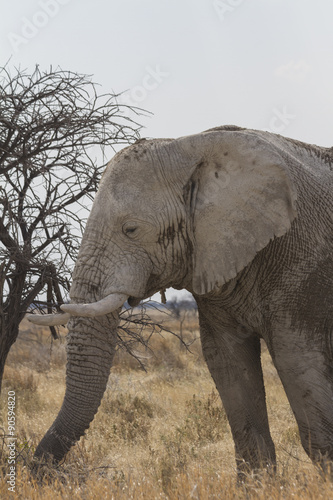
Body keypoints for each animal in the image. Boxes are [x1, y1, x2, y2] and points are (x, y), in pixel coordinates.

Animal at [27, 126, 332, 476]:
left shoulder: (302, 262)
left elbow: (296, 359)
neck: (195, 146)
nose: (38, 473)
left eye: (131, 229)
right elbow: (228, 363)